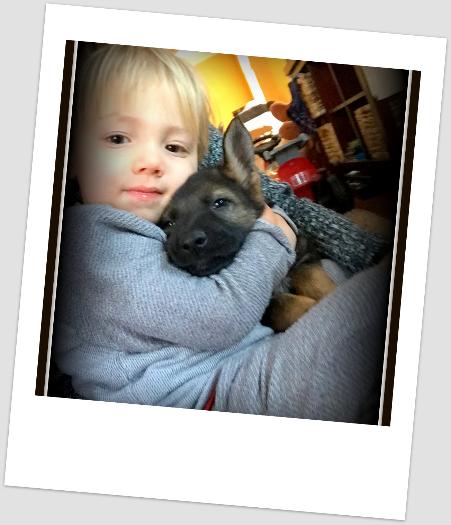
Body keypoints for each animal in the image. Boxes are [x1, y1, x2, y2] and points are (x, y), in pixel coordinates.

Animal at [159, 117, 336, 332]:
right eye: (169, 223)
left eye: (220, 203)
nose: (191, 242)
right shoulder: (267, 307)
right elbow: (288, 305)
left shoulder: (304, 255)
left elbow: (316, 281)